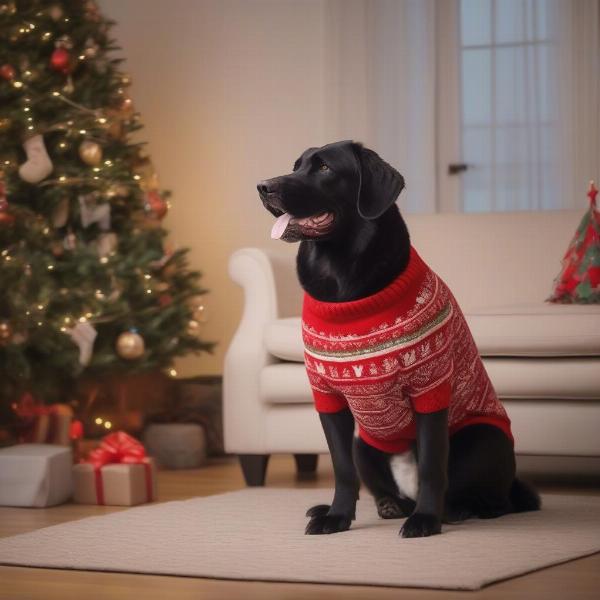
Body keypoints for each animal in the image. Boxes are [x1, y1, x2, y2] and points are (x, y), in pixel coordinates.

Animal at [256, 142, 540, 540]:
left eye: (324, 167)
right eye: (295, 166)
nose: (263, 187)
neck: (342, 281)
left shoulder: (430, 387)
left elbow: (433, 466)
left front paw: (426, 521)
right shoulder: (328, 397)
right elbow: (343, 470)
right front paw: (336, 516)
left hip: (484, 437)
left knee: (496, 501)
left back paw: (453, 510)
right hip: (364, 443)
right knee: (382, 486)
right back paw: (386, 506)